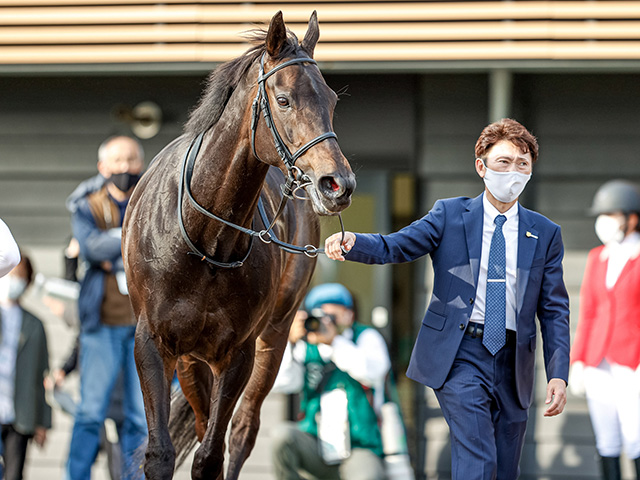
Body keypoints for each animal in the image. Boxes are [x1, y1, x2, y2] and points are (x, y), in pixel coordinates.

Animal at [122, 11, 355, 480]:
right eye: (283, 99)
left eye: (331, 102)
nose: (337, 184)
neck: (205, 243)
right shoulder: (153, 344)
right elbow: (162, 453)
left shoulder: (238, 354)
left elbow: (212, 455)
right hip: (191, 360)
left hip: (277, 335)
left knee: (243, 431)